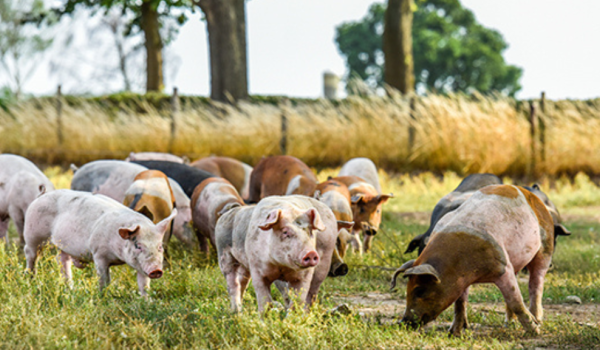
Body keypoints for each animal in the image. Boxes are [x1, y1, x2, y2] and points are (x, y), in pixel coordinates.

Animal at [24, 189, 178, 296]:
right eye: (139, 246)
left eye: (159, 247)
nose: (156, 270)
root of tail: (41, 196)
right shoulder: (99, 254)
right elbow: (104, 279)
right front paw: (104, 297)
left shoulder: (141, 266)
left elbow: (144, 284)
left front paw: (148, 301)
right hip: (33, 233)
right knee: (30, 254)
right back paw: (31, 279)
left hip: (63, 246)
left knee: (63, 261)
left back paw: (70, 289)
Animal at [390, 185, 568, 334]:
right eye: (407, 289)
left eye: (420, 290)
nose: (403, 322)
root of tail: (532, 194)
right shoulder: (463, 280)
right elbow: (460, 304)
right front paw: (453, 333)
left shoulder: (503, 267)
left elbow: (516, 301)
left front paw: (534, 332)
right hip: (516, 260)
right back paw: (508, 324)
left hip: (545, 246)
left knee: (536, 284)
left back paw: (537, 320)